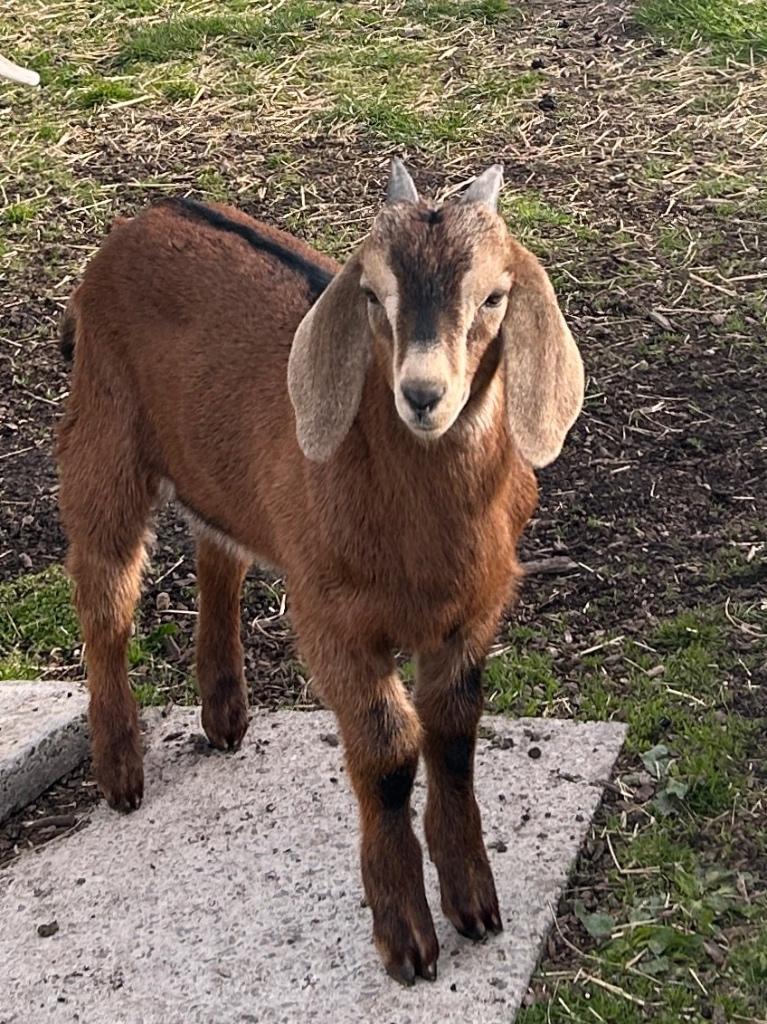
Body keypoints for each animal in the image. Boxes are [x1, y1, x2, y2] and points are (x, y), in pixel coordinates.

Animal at [56, 160, 584, 985]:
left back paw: (225, 715)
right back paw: (120, 772)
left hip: (219, 470)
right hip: (103, 431)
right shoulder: (332, 616)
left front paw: (475, 906)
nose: (423, 395)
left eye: (493, 297)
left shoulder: (472, 612)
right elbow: (390, 751)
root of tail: (143, 218)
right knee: (104, 591)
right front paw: (407, 939)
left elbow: (453, 734)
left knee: (219, 553)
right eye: (371, 294)